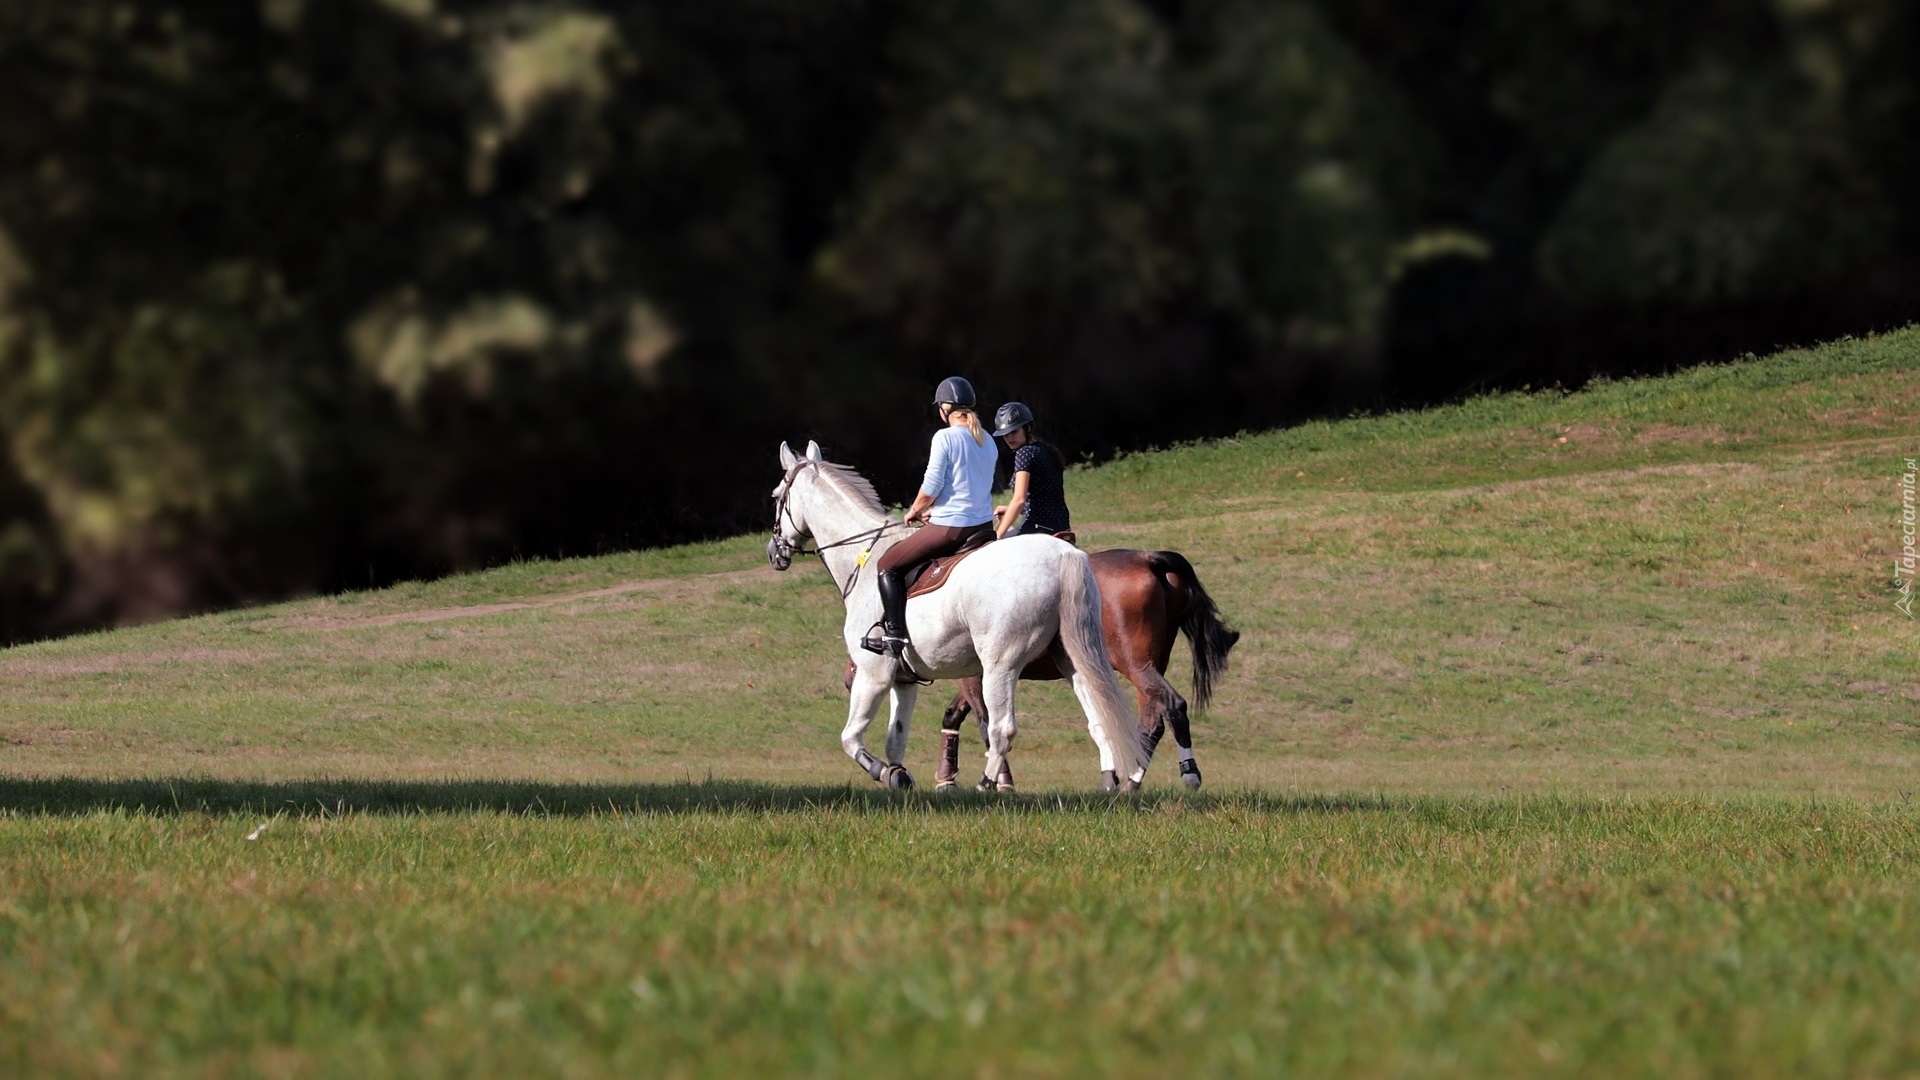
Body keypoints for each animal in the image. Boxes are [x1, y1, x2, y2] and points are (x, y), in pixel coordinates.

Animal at [771, 440, 1144, 791]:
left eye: (776, 496)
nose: (774, 552)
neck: (862, 558)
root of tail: (1063, 554)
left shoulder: (872, 674)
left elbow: (850, 738)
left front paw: (882, 772)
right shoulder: (904, 681)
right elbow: (896, 740)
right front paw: (898, 776)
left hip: (999, 666)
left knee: (1002, 728)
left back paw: (986, 784)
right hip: (1072, 659)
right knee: (1100, 716)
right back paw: (1110, 780)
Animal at [844, 545, 1244, 791]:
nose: (849, 678)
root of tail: (1150, 559)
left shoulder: (978, 675)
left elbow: (983, 722)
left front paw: (993, 780)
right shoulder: (982, 674)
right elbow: (956, 716)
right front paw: (948, 777)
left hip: (1137, 666)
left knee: (1171, 707)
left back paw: (1172, 774)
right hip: (1143, 667)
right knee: (1151, 717)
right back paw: (1132, 777)